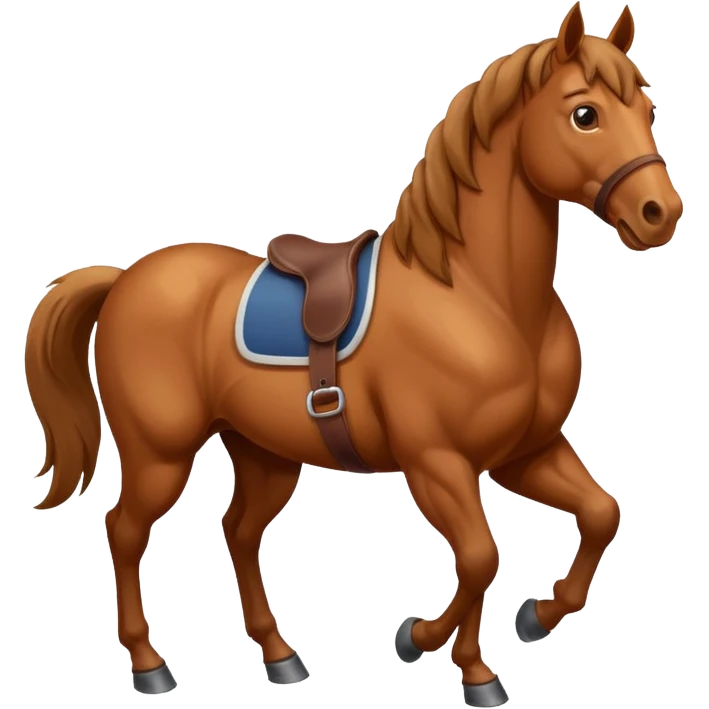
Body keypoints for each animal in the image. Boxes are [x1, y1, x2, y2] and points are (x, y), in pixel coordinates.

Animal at [24, 2, 682, 705]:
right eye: (584, 113)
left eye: (648, 109)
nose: (660, 214)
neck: (482, 296)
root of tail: (124, 278)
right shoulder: (437, 462)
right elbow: (480, 556)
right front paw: (422, 641)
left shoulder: (522, 452)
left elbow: (598, 515)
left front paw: (518, 633)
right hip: (160, 454)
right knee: (124, 530)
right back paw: (149, 664)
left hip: (263, 453)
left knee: (239, 532)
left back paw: (281, 657)